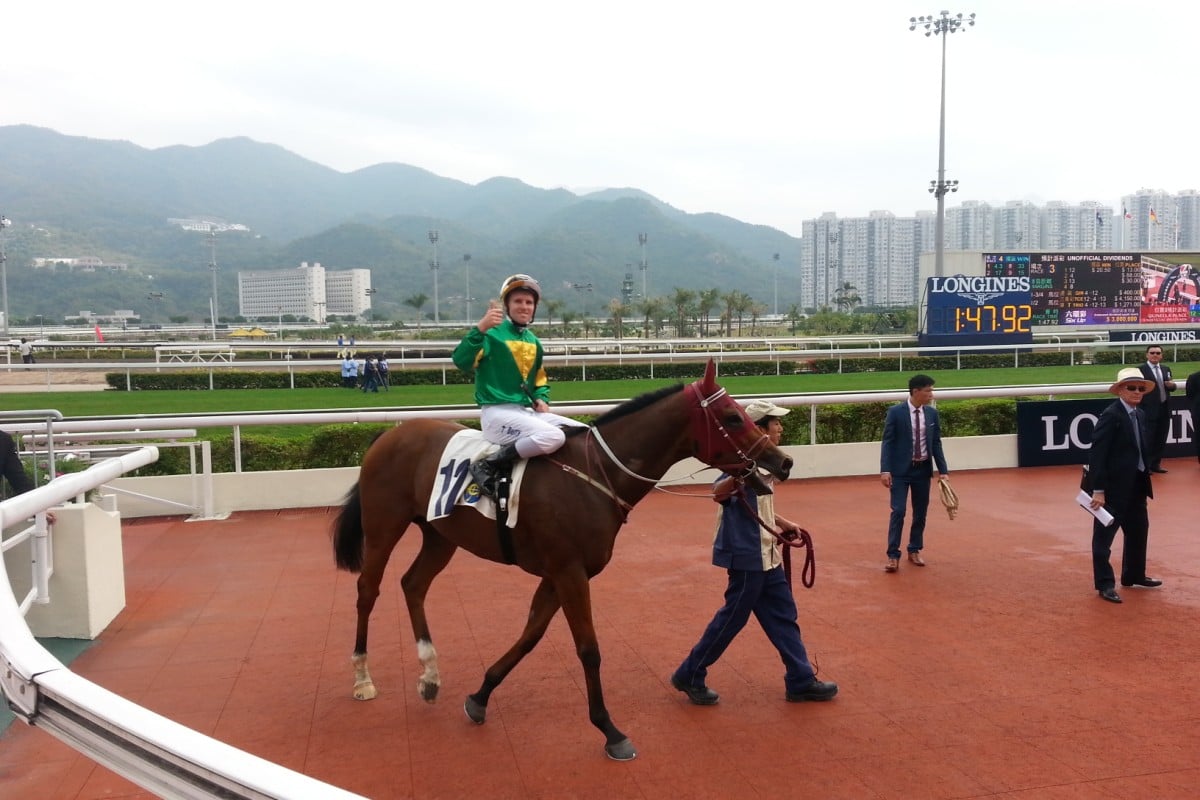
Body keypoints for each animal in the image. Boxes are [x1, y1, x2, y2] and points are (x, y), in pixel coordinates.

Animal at [333, 359, 792, 762]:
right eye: (733, 417)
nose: (782, 461)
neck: (598, 474)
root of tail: (388, 436)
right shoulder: (570, 572)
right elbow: (588, 649)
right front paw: (610, 731)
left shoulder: (559, 573)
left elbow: (531, 635)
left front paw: (480, 696)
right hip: (384, 527)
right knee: (367, 590)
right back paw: (362, 678)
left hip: (440, 534)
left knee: (413, 584)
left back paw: (429, 676)